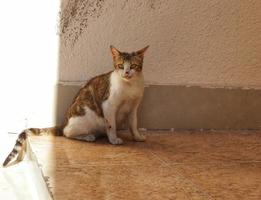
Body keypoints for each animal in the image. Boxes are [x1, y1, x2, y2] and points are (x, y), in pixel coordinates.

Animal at [2, 45, 148, 167]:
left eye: (133, 66)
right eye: (121, 65)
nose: (126, 73)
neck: (130, 86)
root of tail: (65, 122)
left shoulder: (134, 108)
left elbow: (134, 124)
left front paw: (137, 137)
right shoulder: (109, 105)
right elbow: (112, 125)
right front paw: (113, 139)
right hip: (86, 118)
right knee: (67, 133)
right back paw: (88, 136)